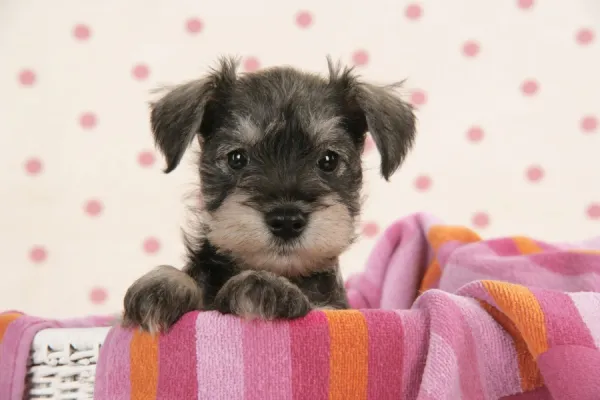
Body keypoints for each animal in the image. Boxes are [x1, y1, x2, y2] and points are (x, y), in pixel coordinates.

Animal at [122, 55, 418, 332]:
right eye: (237, 158)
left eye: (329, 160)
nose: (286, 220)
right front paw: (164, 284)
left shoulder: (334, 310)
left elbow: (316, 305)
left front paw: (264, 285)